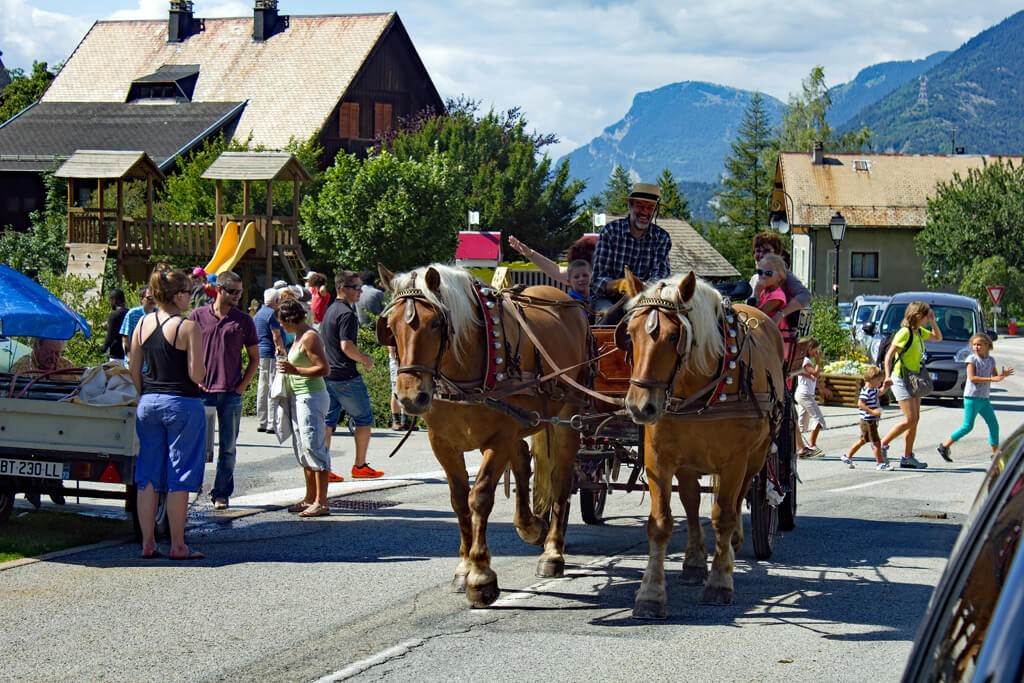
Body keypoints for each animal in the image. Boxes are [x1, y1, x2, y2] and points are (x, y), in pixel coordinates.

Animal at [376, 264, 589, 610]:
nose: (410, 397)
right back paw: (530, 526)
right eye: (390, 326)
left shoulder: (499, 437)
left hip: (568, 416)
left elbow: (480, 497)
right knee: (523, 460)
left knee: (561, 479)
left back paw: (552, 552)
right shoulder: (443, 442)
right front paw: (464, 569)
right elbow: (459, 500)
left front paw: (481, 576)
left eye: (435, 323)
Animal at [614, 270, 782, 618]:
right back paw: (693, 561)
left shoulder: (735, 460)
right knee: (691, 502)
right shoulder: (659, 458)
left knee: (741, 496)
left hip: (756, 457)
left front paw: (720, 581)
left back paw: (731, 547)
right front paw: (650, 594)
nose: (640, 407)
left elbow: (724, 516)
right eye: (630, 334)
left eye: (673, 336)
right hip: (688, 462)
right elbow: (660, 523)